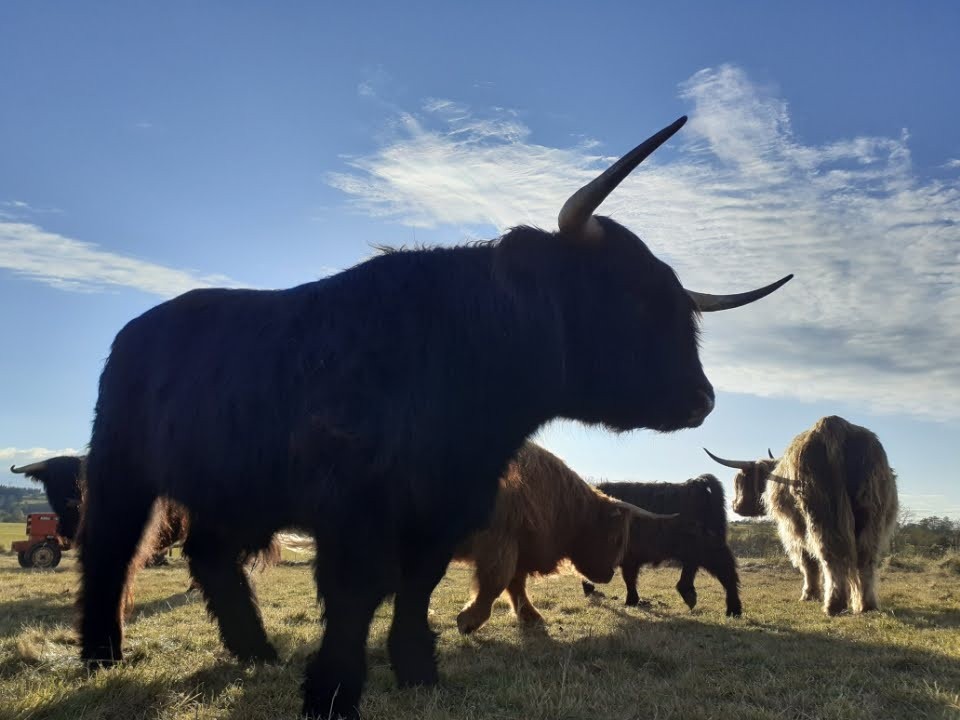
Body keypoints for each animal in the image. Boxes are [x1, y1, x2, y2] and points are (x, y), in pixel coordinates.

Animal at [454, 442, 672, 632]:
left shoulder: (519, 545)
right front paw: (469, 621)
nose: (611, 574)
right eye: (616, 538)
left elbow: (516, 585)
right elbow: (497, 581)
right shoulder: (499, 540)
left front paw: (531, 616)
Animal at [576, 472, 744, 620]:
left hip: (709, 547)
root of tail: (696, 484)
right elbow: (629, 578)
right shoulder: (630, 558)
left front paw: (630, 601)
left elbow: (627, 578)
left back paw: (732, 610)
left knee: (727, 573)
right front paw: (632, 600)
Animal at [704, 420, 900, 616]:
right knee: (866, 556)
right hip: (870, 512)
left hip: (821, 514)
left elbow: (808, 562)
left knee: (831, 554)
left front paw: (809, 594)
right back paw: (865, 605)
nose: (735, 506)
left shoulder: (793, 529)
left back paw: (833, 605)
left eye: (740, 481)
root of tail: (834, 425)